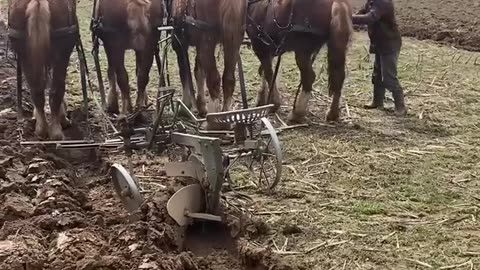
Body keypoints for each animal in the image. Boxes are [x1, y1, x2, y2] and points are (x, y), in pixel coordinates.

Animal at [7, 0, 79, 139]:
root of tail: (38, 2)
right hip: (62, 53)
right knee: (56, 90)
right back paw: (56, 130)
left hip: (24, 54)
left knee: (36, 90)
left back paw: (41, 129)